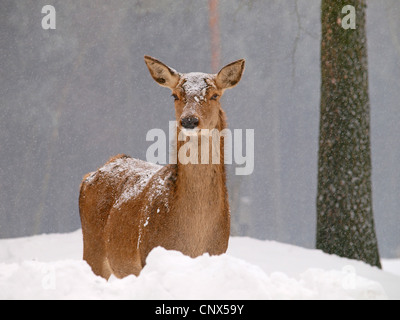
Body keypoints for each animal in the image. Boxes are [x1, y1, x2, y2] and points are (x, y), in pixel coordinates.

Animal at [79, 55, 244, 280]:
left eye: (214, 95)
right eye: (175, 95)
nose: (189, 120)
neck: (194, 242)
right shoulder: (147, 254)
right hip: (92, 248)